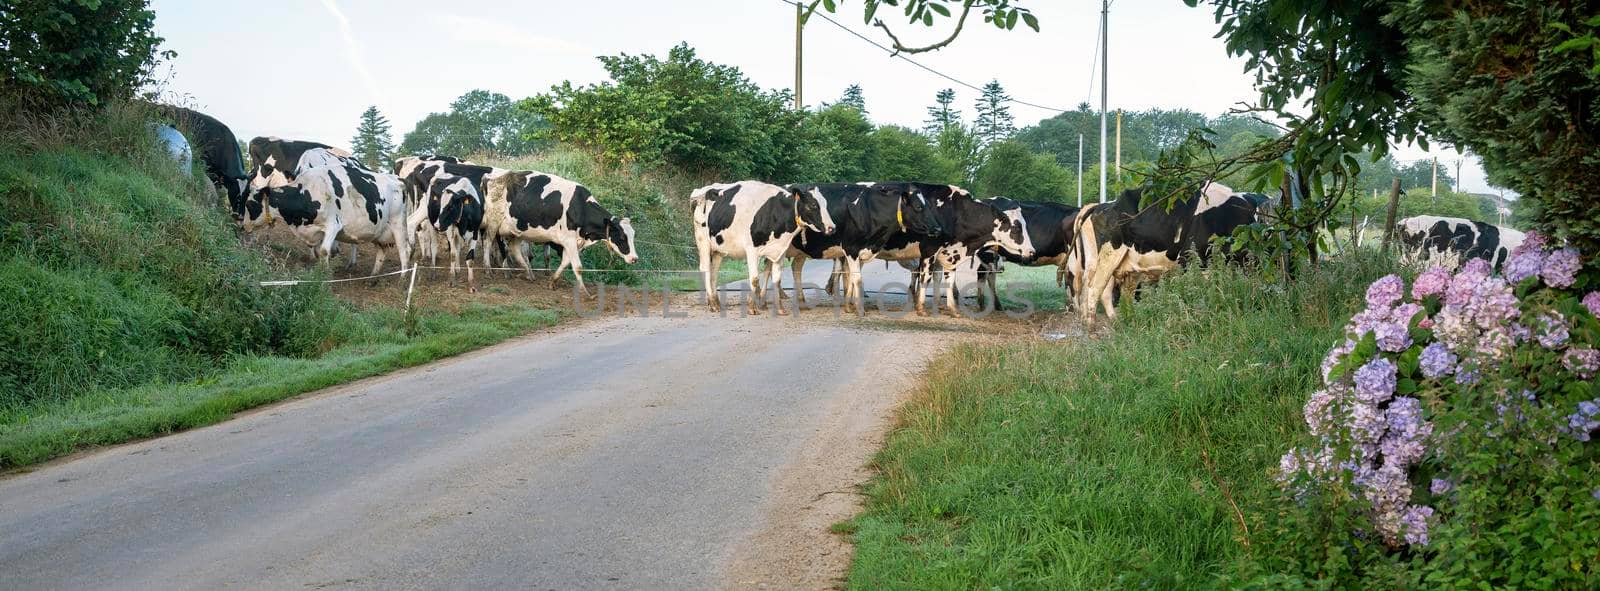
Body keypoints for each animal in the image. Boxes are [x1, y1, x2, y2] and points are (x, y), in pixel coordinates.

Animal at [236, 160, 416, 280]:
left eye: (250, 204)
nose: (243, 226)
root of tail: (398, 180)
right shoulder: (315, 231)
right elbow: (318, 252)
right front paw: (321, 271)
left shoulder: (333, 225)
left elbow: (323, 251)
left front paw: (325, 276)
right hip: (379, 230)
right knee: (382, 251)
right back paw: (373, 277)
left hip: (398, 224)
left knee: (404, 249)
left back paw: (402, 278)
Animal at [480, 168, 636, 293]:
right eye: (622, 237)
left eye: (633, 236)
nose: (635, 258)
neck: (579, 207)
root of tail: (492, 178)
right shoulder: (568, 240)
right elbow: (578, 266)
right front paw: (585, 291)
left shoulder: (572, 242)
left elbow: (565, 262)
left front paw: (553, 282)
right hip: (494, 223)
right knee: (488, 242)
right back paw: (489, 270)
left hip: (517, 230)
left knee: (514, 249)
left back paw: (528, 273)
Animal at [691, 181, 838, 315]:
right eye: (813, 205)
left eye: (825, 204)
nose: (832, 228)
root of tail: (703, 190)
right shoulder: (751, 250)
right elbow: (755, 278)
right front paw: (752, 307)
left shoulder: (780, 251)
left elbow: (777, 279)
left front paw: (780, 309)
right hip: (703, 242)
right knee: (706, 270)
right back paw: (712, 304)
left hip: (718, 249)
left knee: (714, 271)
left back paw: (716, 301)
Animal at [784, 183, 940, 313]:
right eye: (918, 206)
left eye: (928, 206)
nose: (938, 228)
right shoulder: (850, 248)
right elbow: (856, 278)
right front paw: (859, 309)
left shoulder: (861, 252)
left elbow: (852, 277)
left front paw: (849, 305)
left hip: (800, 251)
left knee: (795, 267)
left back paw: (800, 301)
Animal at [1068, 180, 1267, 317]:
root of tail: (1101, 205)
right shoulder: (1192, 259)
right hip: (1106, 258)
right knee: (1096, 288)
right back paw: (1094, 324)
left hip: (1128, 266)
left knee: (1121, 292)